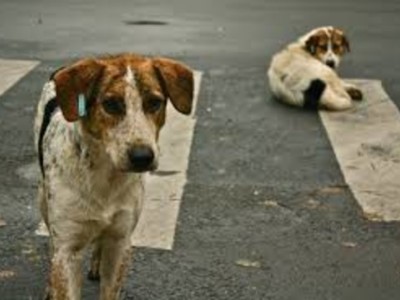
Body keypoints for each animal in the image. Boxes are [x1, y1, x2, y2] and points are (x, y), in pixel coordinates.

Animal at [33, 54, 193, 300]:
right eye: (111, 104)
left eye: (154, 102)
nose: (142, 157)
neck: (104, 174)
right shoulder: (68, 249)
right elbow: (61, 264)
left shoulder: (120, 242)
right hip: (43, 198)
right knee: (52, 241)